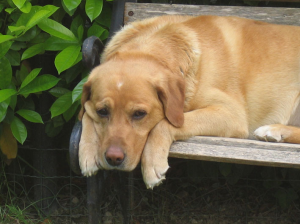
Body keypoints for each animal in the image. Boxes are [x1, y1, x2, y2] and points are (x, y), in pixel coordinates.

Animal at [78, 14, 300, 189]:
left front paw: (152, 164)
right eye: (103, 111)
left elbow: (165, 123)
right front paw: (88, 152)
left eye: (139, 114)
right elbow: (85, 114)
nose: (113, 158)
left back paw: (273, 130)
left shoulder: (231, 114)